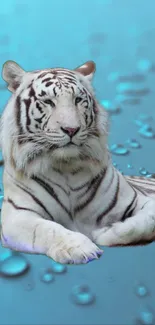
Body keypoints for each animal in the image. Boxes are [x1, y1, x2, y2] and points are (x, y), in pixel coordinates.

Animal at [0, 60, 155, 264]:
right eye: (48, 101)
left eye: (78, 100)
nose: (71, 129)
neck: (66, 166)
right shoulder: (16, 215)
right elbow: (48, 229)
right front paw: (81, 248)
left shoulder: (140, 199)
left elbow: (148, 221)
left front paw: (105, 232)